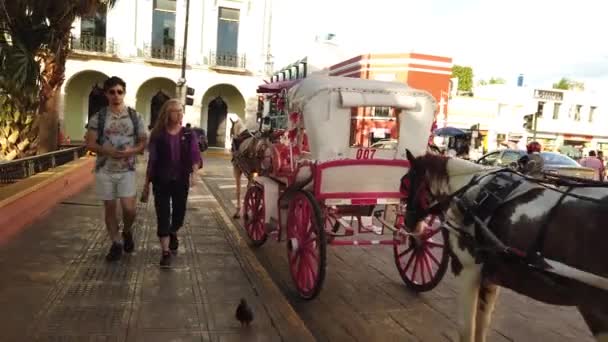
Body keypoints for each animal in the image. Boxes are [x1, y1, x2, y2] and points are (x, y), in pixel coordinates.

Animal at [404, 150, 608, 342]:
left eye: (405, 183)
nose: (407, 223)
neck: (469, 189)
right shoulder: (490, 276)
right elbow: (482, 324)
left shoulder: (466, 269)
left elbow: (466, 328)